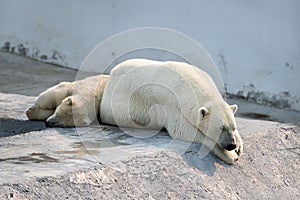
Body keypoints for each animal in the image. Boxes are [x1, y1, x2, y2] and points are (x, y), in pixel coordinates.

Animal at [101, 58, 244, 164]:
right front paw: (230, 155)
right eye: (221, 128)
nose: (231, 144)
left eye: (234, 128)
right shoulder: (170, 103)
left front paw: (239, 145)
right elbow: (182, 129)